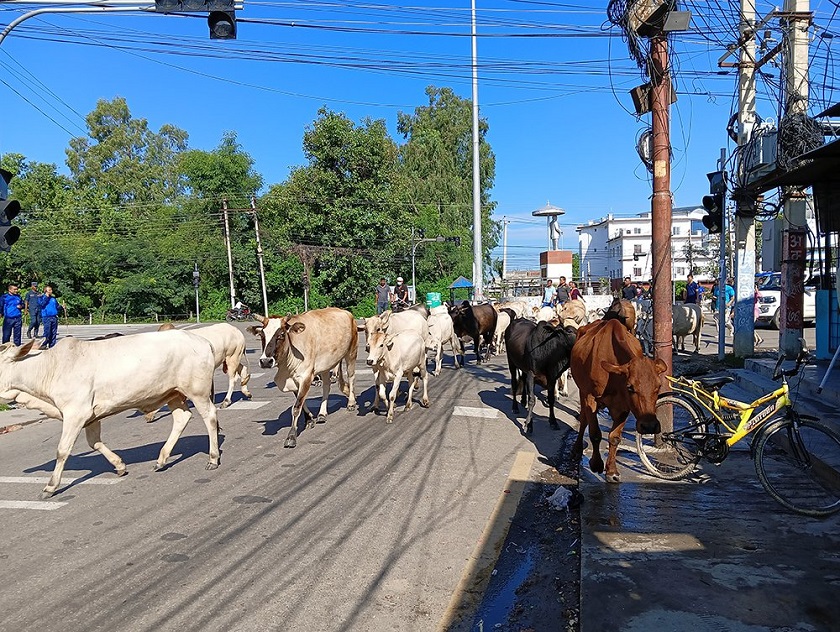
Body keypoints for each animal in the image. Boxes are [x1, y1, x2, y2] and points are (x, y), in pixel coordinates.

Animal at [0, 330, 221, 498]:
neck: (50, 368)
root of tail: (202, 340)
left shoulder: (75, 413)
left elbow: (62, 450)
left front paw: (50, 487)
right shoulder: (90, 417)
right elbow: (94, 443)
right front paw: (119, 465)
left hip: (197, 391)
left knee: (210, 417)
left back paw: (213, 458)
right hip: (173, 393)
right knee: (182, 418)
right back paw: (161, 459)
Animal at [248, 308, 356, 450]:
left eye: (281, 335)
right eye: (262, 335)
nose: (265, 361)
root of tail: (346, 312)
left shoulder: (306, 377)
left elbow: (296, 407)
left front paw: (291, 436)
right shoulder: (294, 381)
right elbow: (301, 402)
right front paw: (309, 419)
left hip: (351, 353)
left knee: (351, 378)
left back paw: (351, 403)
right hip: (326, 365)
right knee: (326, 386)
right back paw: (322, 414)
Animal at [576, 318, 668, 482]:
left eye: (658, 386)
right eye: (630, 387)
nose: (649, 426)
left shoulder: (624, 406)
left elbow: (614, 437)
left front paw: (612, 471)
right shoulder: (590, 397)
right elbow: (595, 433)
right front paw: (596, 463)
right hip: (582, 391)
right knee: (583, 420)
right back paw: (578, 447)